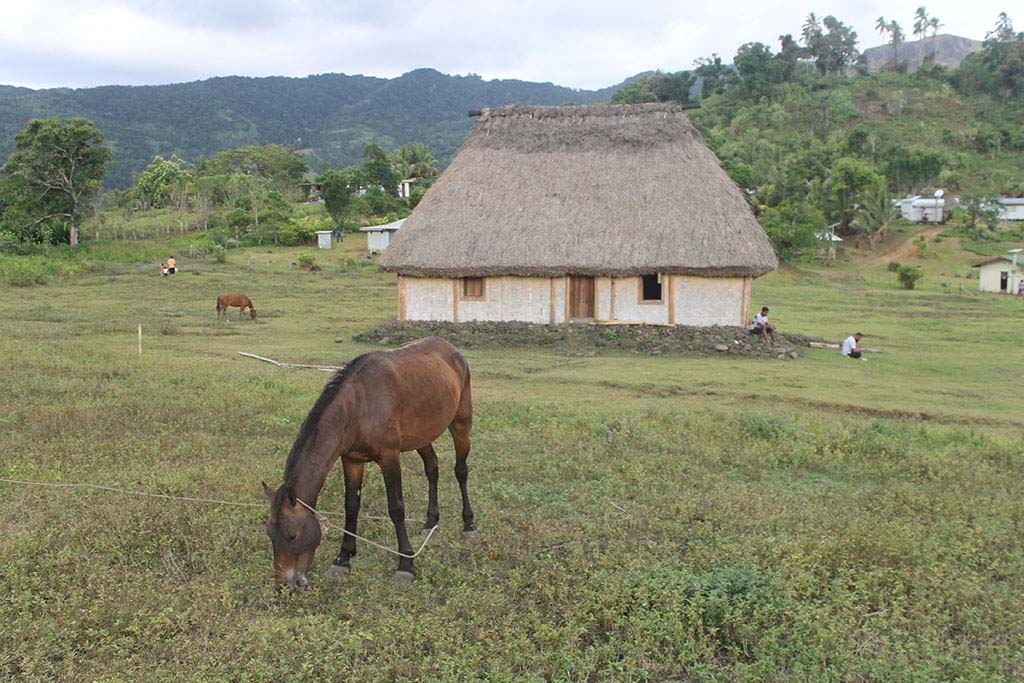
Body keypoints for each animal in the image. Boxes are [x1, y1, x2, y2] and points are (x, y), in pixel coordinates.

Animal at [262, 335, 473, 589]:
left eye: (292, 535)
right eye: (269, 533)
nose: (283, 585)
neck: (358, 406)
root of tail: (451, 348)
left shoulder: (389, 457)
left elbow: (396, 508)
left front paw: (405, 564)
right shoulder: (351, 460)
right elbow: (351, 507)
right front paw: (343, 559)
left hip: (461, 423)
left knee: (461, 470)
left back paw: (469, 524)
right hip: (422, 435)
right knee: (432, 468)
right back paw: (430, 523)